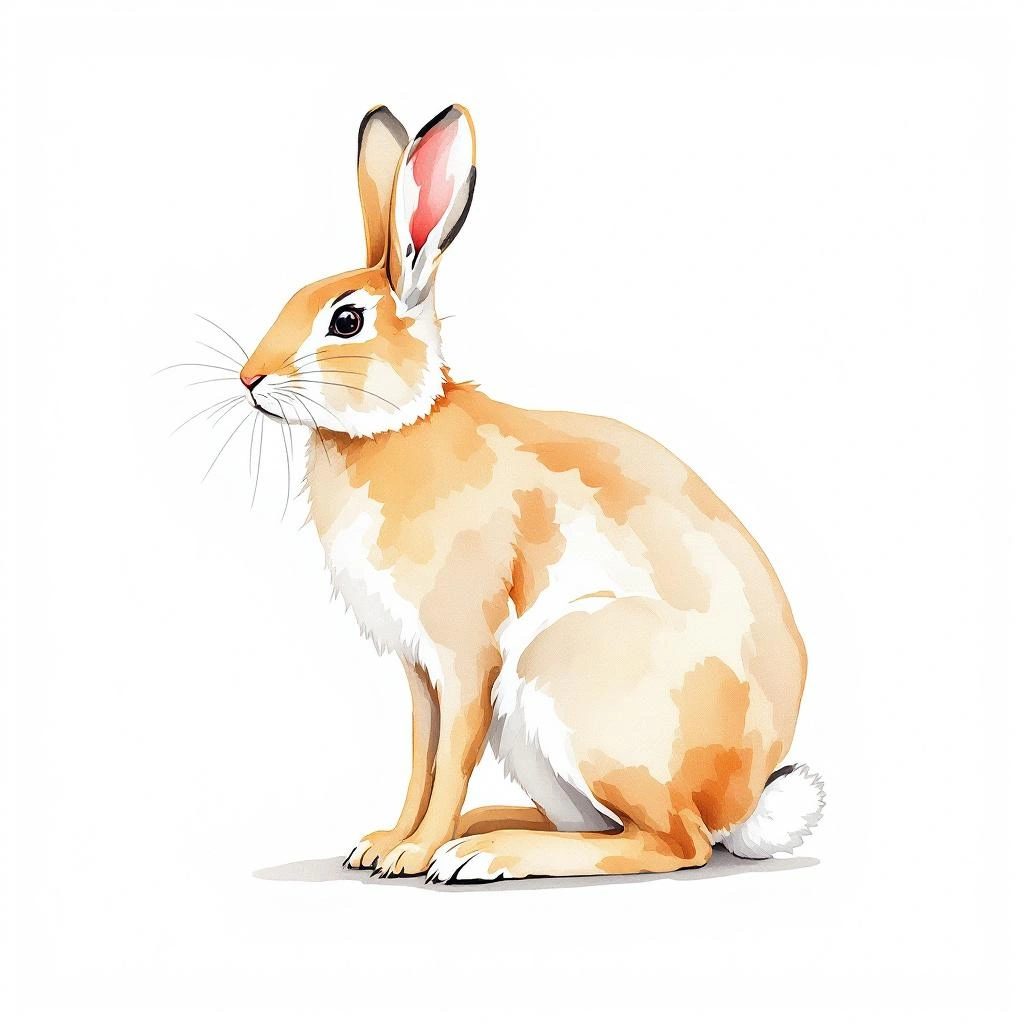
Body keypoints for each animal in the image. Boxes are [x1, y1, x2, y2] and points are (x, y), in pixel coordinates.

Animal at [235, 104, 824, 883]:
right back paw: (481, 834)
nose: (249, 378)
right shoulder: (419, 671)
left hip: (567, 678)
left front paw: (412, 854)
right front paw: (383, 845)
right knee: (609, 828)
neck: (402, 424)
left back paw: (480, 854)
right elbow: (421, 757)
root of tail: (745, 802)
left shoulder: (464, 653)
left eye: (346, 320)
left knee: (674, 844)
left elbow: (449, 759)